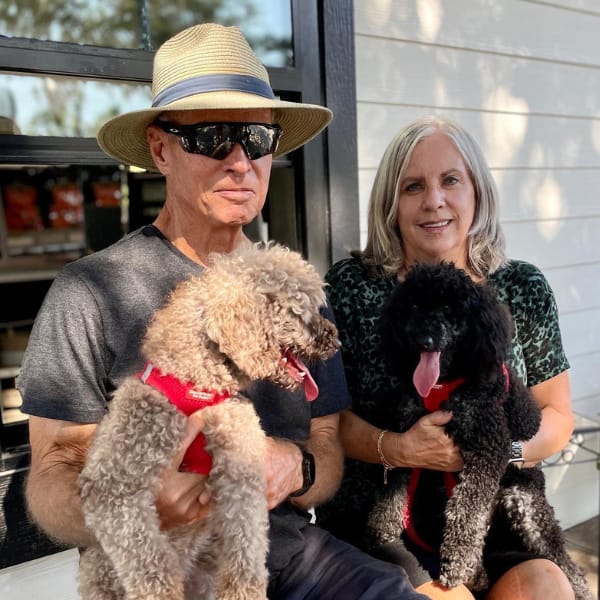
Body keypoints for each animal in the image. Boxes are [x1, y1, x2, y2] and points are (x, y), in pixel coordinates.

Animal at [370, 262, 592, 600]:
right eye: (414, 306)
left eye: (449, 308)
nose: (424, 339)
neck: (443, 385)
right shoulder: (407, 437)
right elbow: (393, 483)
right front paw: (383, 522)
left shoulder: (487, 448)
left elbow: (467, 509)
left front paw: (458, 561)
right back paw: (479, 575)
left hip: (526, 506)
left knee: (562, 560)